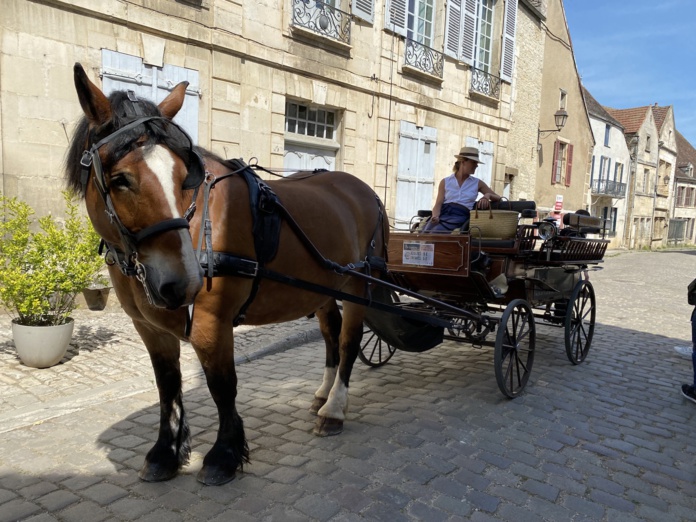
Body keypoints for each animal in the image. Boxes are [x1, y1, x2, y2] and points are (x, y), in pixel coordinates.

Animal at [65, 64, 388, 484]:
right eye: (119, 179)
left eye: (183, 176)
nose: (182, 281)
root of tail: (365, 190)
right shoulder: (149, 328)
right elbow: (167, 385)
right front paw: (166, 452)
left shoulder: (211, 322)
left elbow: (222, 386)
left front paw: (225, 453)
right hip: (324, 287)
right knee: (331, 335)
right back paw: (323, 392)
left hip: (358, 284)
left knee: (349, 343)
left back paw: (334, 408)